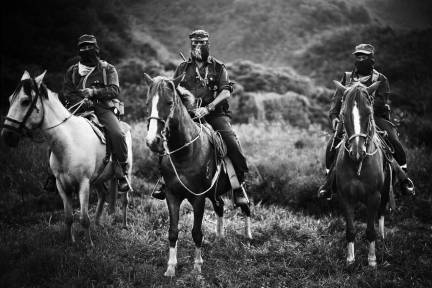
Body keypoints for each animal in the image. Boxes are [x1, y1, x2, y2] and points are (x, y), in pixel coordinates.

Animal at [143, 73, 251, 276]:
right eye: (147, 103)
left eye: (169, 102)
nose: (153, 141)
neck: (185, 153)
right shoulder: (172, 195)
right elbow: (173, 231)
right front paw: (171, 267)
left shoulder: (198, 198)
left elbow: (196, 232)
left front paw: (197, 266)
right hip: (213, 193)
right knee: (220, 206)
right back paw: (219, 236)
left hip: (235, 184)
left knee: (245, 205)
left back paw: (248, 235)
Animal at [332, 80, 390, 266]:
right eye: (343, 113)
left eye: (369, 112)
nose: (357, 152)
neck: (358, 164)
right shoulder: (345, 197)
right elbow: (350, 230)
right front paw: (350, 259)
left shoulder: (374, 197)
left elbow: (370, 230)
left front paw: (372, 260)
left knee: (381, 215)